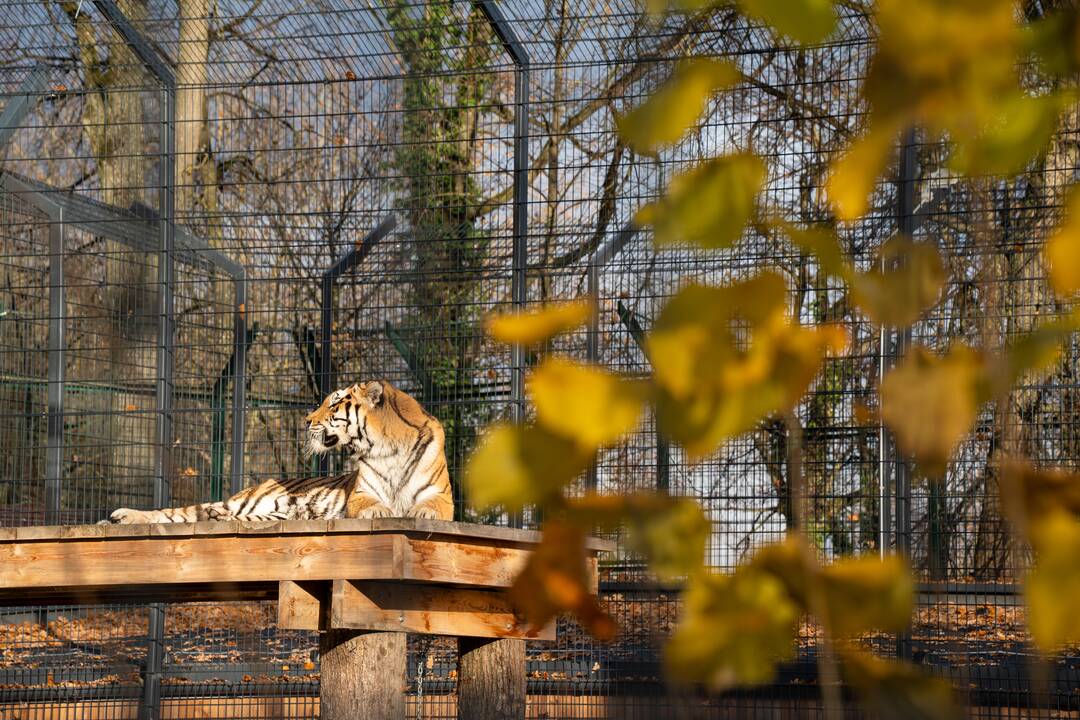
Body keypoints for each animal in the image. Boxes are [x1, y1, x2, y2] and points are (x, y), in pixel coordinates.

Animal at [103, 379, 453, 526]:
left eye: (334, 403)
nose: (307, 420)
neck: (386, 448)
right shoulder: (360, 493)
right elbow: (371, 503)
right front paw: (380, 512)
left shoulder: (442, 496)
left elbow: (431, 507)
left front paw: (420, 513)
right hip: (245, 502)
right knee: (178, 513)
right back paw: (122, 516)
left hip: (276, 511)